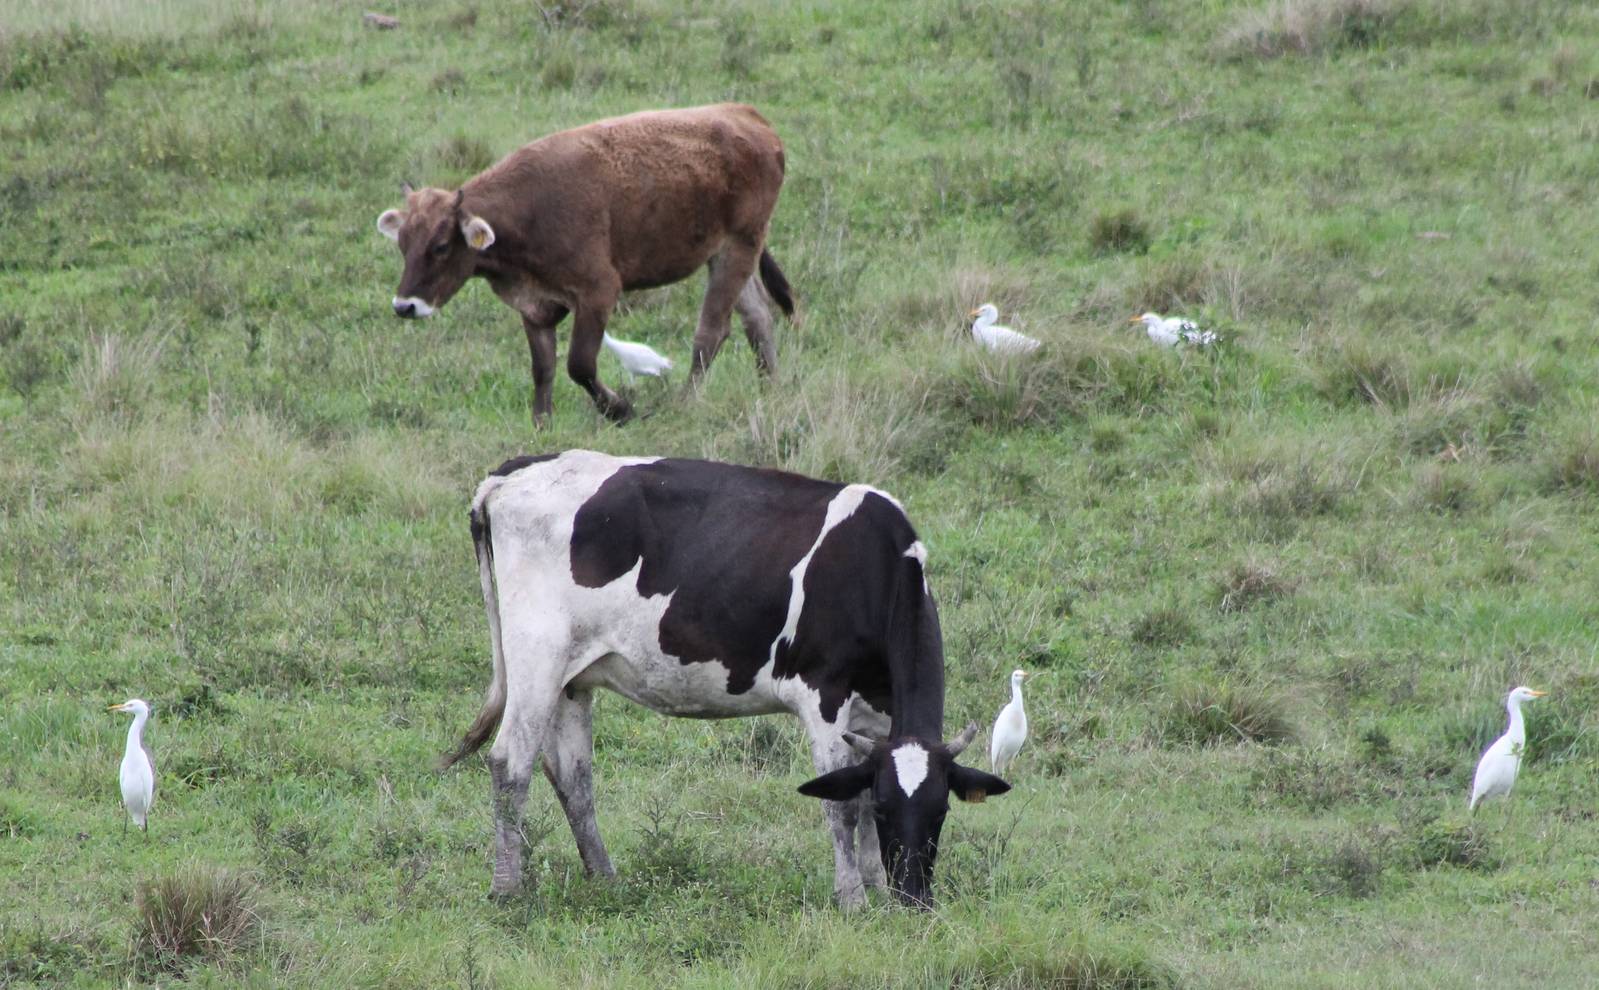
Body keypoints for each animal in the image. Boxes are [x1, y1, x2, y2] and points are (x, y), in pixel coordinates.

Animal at [374, 104, 795, 424]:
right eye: (404, 244)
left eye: (441, 246)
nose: (404, 306)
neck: (527, 212)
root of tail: (747, 116)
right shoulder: (536, 308)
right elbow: (543, 368)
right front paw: (541, 424)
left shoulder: (598, 291)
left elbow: (579, 364)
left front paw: (620, 409)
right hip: (726, 253)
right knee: (758, 318)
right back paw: (771, 389)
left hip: (737, 247)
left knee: (711, 332)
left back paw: (686, 402)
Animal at [441, 450, 1011, 909]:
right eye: (895, 810)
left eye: (941, 811)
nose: (915, 898)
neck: (873, 566)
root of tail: (514, 471)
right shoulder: (822, 695)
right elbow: (842, 806)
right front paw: (853, 899)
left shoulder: (875, 715)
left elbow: (858, 791)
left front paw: (874, 886)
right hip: (535, 655)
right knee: (510, 763)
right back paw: (508, 891)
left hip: (571, 677)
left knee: (572, 776)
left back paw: (605, 880)